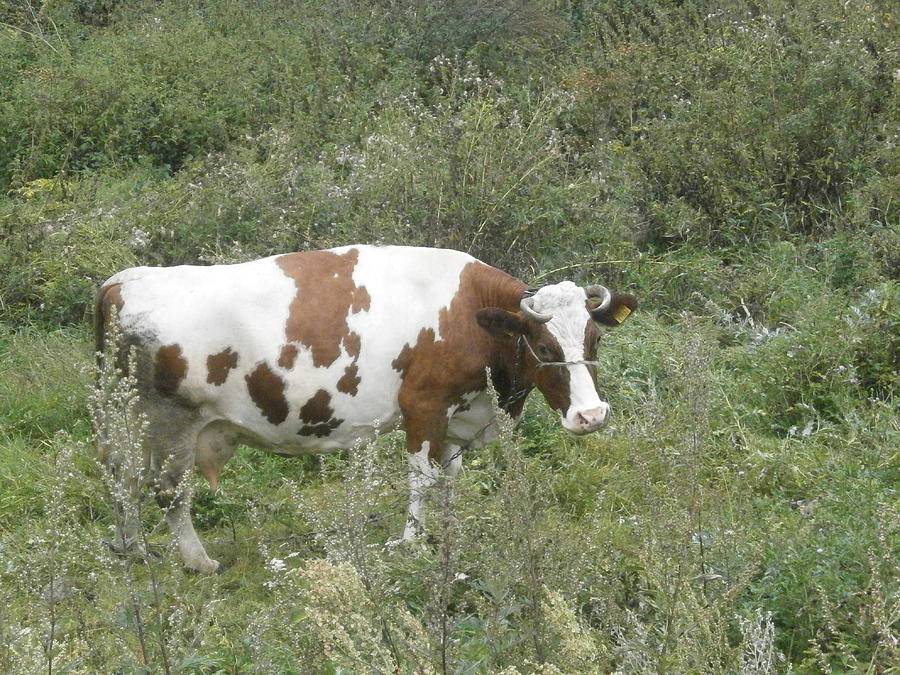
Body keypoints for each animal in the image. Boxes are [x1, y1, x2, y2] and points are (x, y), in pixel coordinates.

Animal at [95, 246, 636, 572]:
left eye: (595, 337)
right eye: (544, 346)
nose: (592, 416)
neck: (468, 316)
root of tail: (126, 279)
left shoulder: (459, 414)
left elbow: (450, 480)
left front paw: (449, 531)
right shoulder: (423, 406)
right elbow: (422, 477)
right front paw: (412, 541)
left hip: (125, 418)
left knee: (123, 477)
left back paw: (133, 549)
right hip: (172, 421)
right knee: (167, 489)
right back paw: (197, 561)